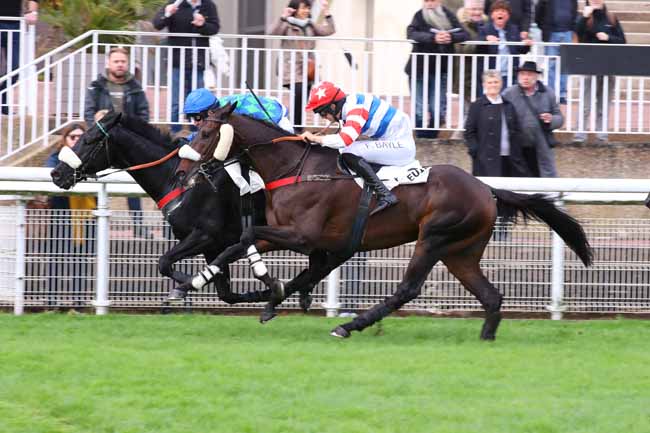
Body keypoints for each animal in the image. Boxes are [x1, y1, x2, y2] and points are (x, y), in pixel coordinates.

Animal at [49, 111, 274, 304]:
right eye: (79, 137)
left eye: (89, 139)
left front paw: (185, 285)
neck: (178, 182)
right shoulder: (212, 246)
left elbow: (164, 262)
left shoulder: (205, 235)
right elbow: (225, 291)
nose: (56, 173)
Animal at [173, 104, 592, 338]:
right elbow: (238, 242)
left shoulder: (303, 236)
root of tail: (487, 189)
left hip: (433, 238)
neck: (295, 168)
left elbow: (247, 236)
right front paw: (198, 280)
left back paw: (348, 326)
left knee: (407, 289)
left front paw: (262, 285)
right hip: (461, 251)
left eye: (206, 132)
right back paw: (486, 337)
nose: (180, 170)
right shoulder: (290, 236)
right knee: (490, 295)